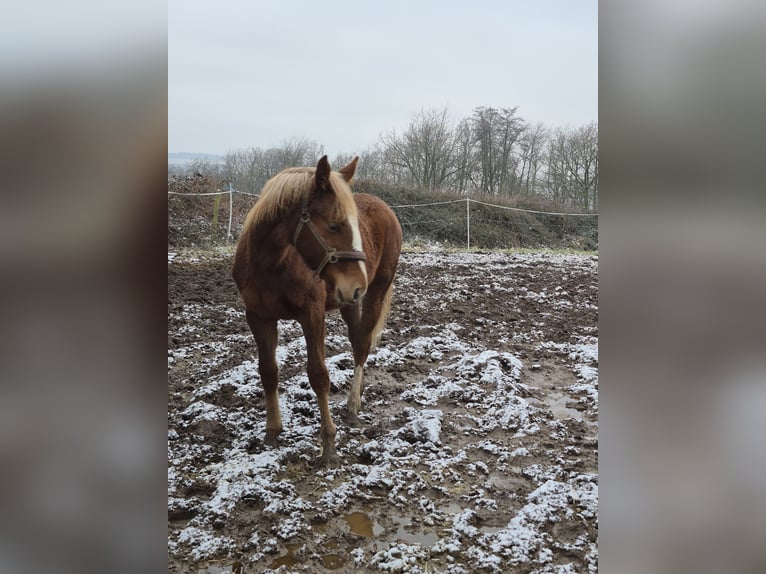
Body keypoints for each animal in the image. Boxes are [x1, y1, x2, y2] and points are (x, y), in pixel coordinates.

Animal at [232, 155, 402, 466]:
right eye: (334, 226)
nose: (357, 284)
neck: (272, 264)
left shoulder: (312, 316)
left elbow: (319, 375)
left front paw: (329, 444)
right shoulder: (259, 318)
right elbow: (268, 371)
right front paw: (272, 431)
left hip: (374, 292)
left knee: (362, 346)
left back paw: (352, 406)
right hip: (350, 303)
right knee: (357, 342)